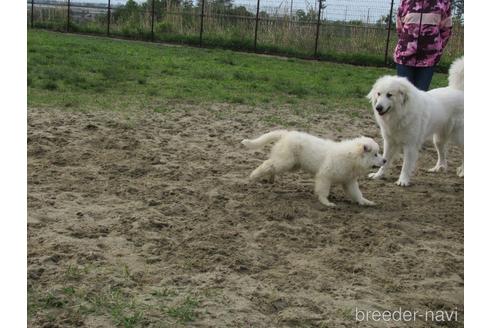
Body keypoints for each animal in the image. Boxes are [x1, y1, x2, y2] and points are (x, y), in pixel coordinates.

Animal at [240, 130, 386, 205]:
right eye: (375, 154)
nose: (384, 160)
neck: (352, 157)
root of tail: (286, 134)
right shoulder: (325, 176)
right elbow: (323, 191)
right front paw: (326, 203)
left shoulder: (349, 181)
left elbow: (357, 193)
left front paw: (366, 202)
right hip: (285, 161)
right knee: (267, 164)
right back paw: (253, 176)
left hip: (291, 164)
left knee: (272, 165)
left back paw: (271, 179)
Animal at [366, 57, 466, 186]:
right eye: (378, 94)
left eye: (389, 95)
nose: (378, 107)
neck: (401, 113)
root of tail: (459, 90)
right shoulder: (389, 142)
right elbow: (385, 160)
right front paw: (378, 175)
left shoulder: (410, 145)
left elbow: (405, 165)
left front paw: (403, 181)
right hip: (438, 139)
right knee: (442, 154)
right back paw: (437, 168)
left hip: (459, 137)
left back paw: (462, 172)